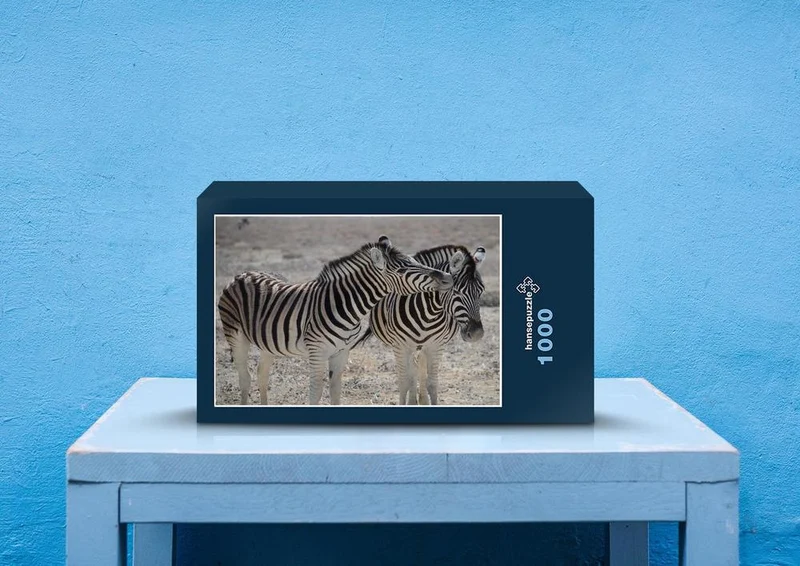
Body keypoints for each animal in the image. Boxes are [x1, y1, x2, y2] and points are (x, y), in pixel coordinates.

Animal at [217, 235, 454, 405]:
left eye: (415, 261)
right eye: (404, 269)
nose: (448, 278)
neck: (345, 306)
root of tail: (243, 273)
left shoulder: (341, 352)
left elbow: (336, 391)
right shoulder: (317, 351)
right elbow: (315, 391)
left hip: (268, 343)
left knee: (262, 375)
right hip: (235, 335)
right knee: (245, 378)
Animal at [353, 244, 486, 405]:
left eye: (481, 291)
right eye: (456, 291)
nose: (477, 333)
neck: (428, 313)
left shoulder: (436, 346)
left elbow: (432, 383)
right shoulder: (401, 346)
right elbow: (405, 381)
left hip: (422, 348)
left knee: (420, 370)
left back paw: (422, 399)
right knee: (412, 373)